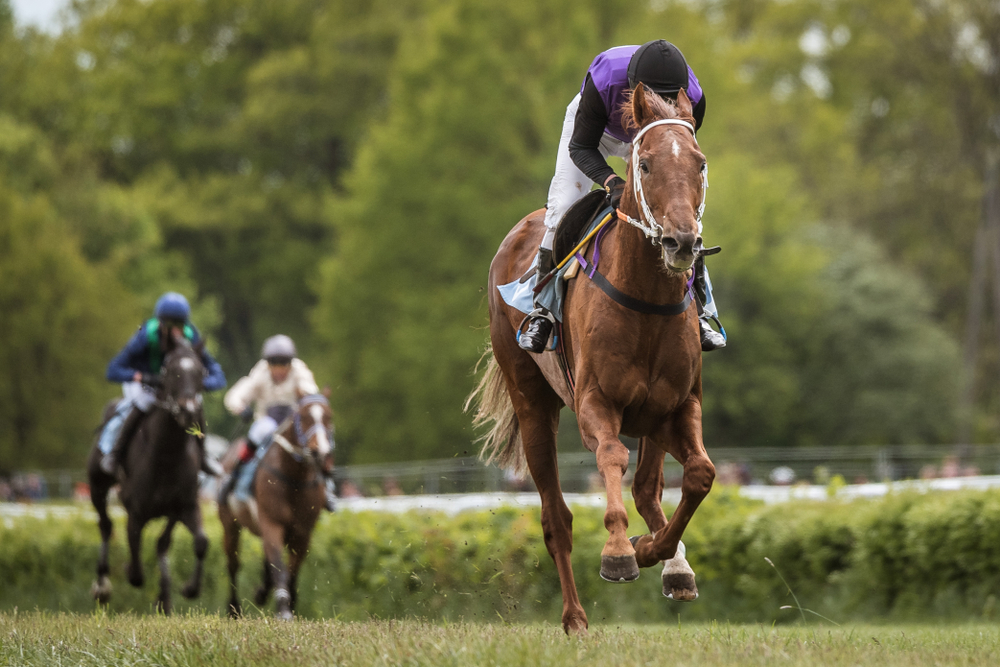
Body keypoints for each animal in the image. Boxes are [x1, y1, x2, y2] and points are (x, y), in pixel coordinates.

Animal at [86, 333, 211, 613]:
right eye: (171, 371)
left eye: (200, 372)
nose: (188, 410)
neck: (167, 455)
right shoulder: (136, 511)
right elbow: (135, 570)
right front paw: (128, 570)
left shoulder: (184, 505)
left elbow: (198, 542)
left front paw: (187, 589)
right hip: (97, 484)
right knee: (106, 525)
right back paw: (102, 585)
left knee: (161, 544)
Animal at [218, 393, 333, 620]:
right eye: (304, 417)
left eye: (329, 417)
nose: (321, 453)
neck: (294, 478)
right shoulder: (272, 522)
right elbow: (279, 566)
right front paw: (283, 609)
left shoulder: (303, 532)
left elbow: (292, 569)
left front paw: (289, 602)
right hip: (230, 524)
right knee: (233, 564)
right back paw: (234, 609)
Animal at [467, 85, 715, 634]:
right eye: (644, 164)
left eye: (701, 163)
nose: (682, 242)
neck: (645, 299)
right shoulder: (595, 403)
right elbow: (611, 457)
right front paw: (621, 551)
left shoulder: (676, 405)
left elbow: (698, 474)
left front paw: (658, 553)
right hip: (532, 402)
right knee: (556, 517)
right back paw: (575, 617)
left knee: (647, 488)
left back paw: (674, 566)